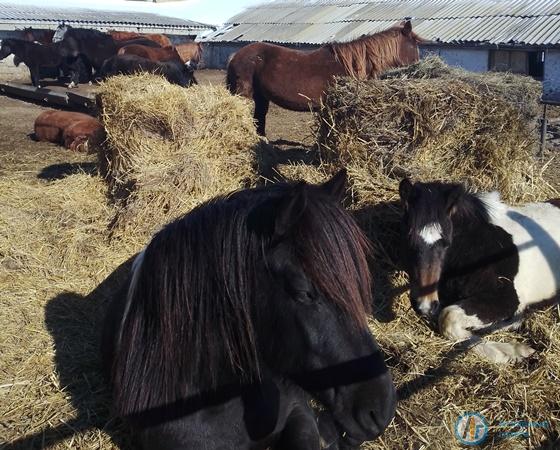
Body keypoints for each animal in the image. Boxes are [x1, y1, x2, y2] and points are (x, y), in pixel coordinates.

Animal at [228, 20, 424, 135]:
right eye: (414, 46)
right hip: (244, 95)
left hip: (261, 97)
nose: (419, 63)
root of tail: (236, 55)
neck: (351, 64)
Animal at [398, 178, 560, 362]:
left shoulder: (508, 299)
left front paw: (512, 352)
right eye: (409, 239)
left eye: (446, 242)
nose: (425, 305)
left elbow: (448, 318)